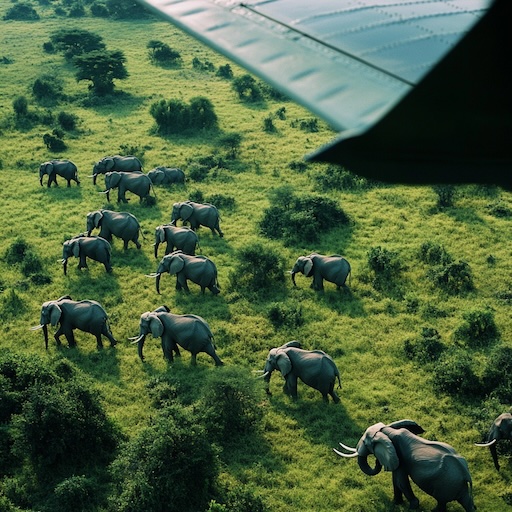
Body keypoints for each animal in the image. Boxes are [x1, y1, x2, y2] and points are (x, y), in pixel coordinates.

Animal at [336, 420, 476, 512]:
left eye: (365, 442)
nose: (377, 462)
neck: (386, 430)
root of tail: (466, 475)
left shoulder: (400, 457)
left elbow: (400, 482)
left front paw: (411, 507)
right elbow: (396, 480)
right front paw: (396, 503)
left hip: (445, 484)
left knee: (442, 501)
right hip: (455, 484)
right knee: (466, 501)